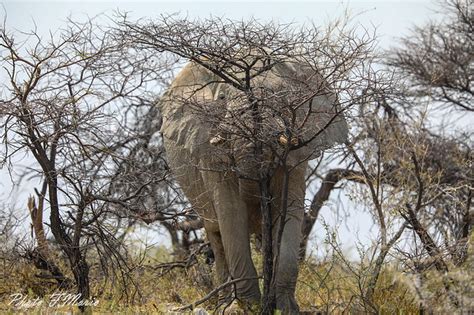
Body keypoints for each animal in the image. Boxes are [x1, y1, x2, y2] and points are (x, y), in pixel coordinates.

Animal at [159, 58, 348, 314]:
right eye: (222, 99)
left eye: (281, 97)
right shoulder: (208, 148)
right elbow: (231, 212)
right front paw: (247, 307)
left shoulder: (297, 151)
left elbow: (290, 211)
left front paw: (285, 308)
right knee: (216, 235)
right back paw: (224, 304)